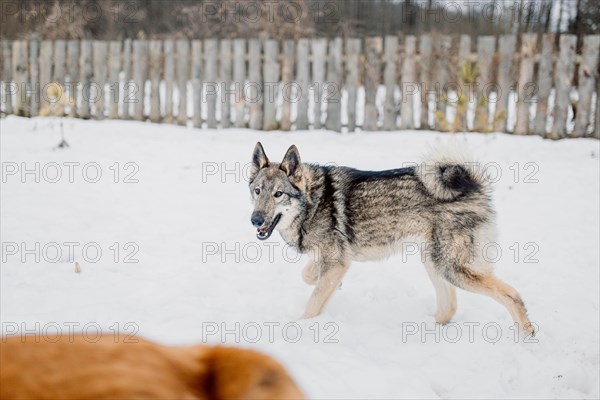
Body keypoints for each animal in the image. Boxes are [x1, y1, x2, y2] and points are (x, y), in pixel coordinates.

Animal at [247, 142, 536, 336]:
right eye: (257, 191)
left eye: (279, 194)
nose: (255, 220)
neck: (312, 202)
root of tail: (473, 187)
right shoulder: (335, 260)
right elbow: (309, 275)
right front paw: (326, 281)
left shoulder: (337, 262)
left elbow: (313, 302)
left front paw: (301, 328)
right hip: (433, 261)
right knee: (449, 306)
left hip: (452, 268)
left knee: (511, 294)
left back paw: (526, 336)